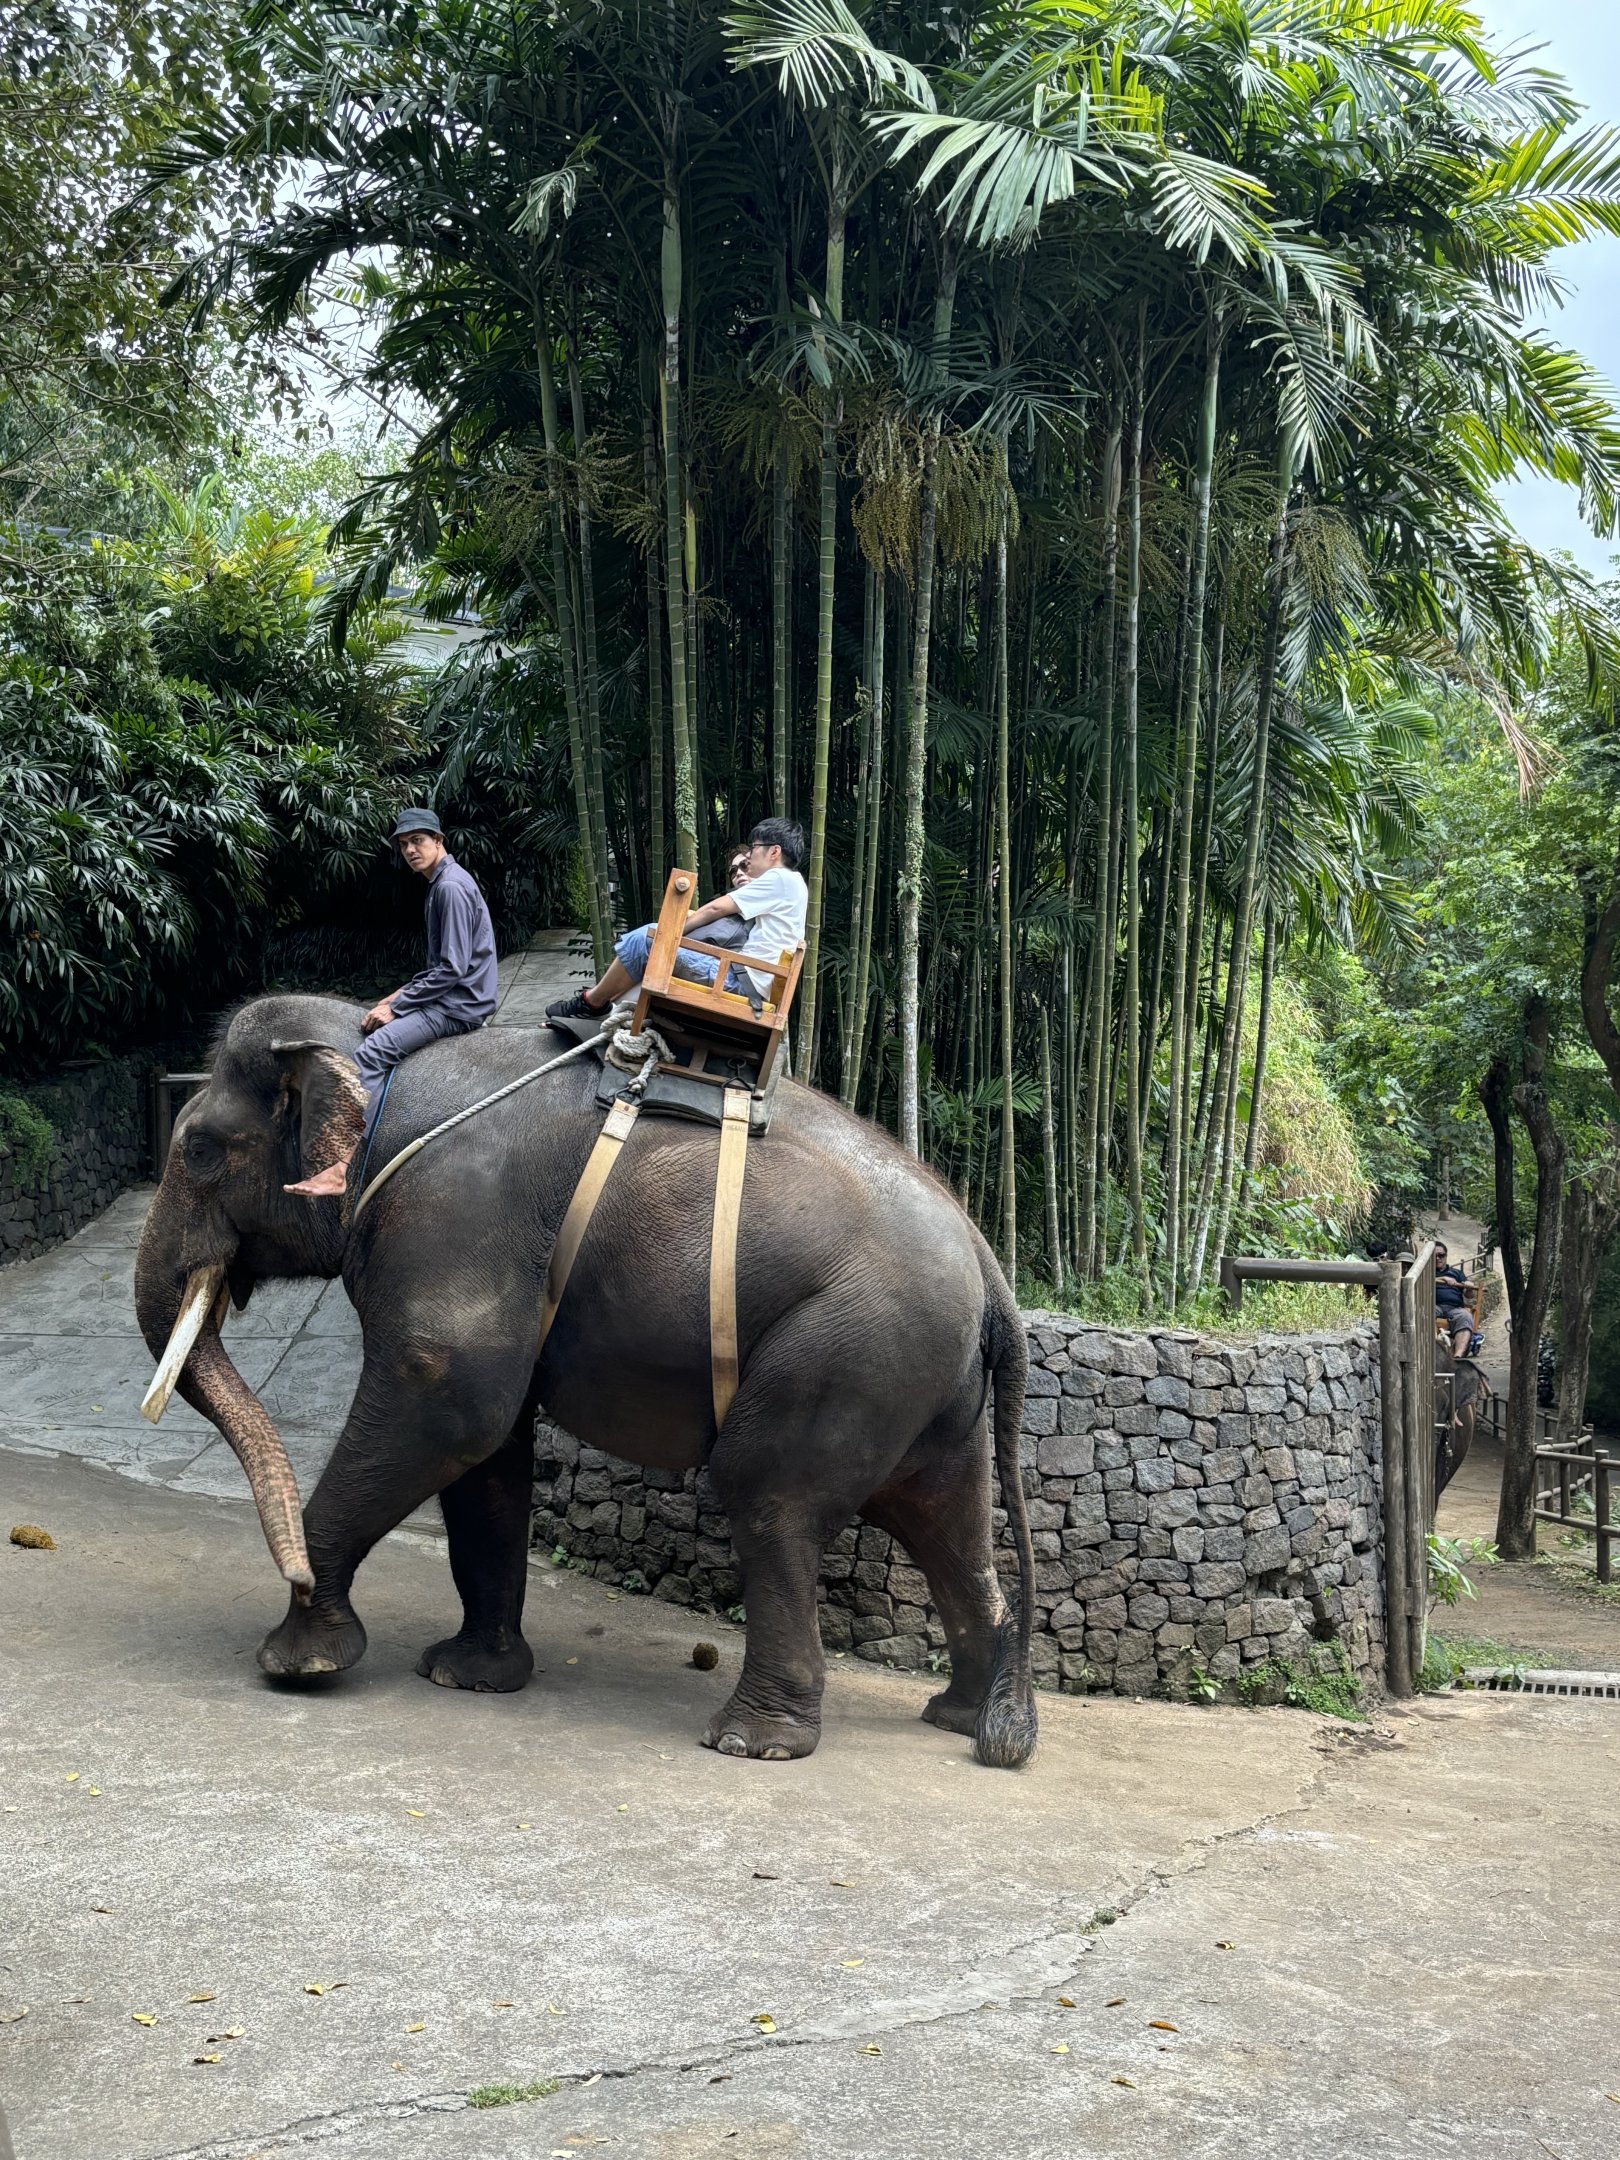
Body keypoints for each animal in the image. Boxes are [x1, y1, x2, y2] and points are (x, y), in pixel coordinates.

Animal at [134, 994, 1038, 1769]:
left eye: (200, 1149)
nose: (292, 1581)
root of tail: (989, 1264)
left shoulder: (453, 1222)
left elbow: (448, 1402)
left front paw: (297, 1664)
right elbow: (488, 1448)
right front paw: (465, 1676)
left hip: (850, 1350)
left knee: (771, 1494)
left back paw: (750, 1742)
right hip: (925, 1382)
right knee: (940, 1516)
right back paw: (961, 1716)